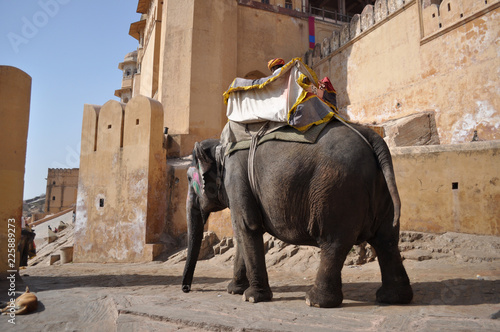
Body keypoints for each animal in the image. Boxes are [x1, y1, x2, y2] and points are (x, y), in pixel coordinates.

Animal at [182, 120, 412, 308]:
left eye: (188, 178)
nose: (186, 289)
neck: (220, 147)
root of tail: (373, 138)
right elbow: (242, 231)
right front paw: (234, 290)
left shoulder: (236, 177)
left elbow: (247, 226)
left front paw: (251, 297)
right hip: (382, 189)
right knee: (386, 240)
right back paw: (392, 298)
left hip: (336, 189)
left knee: (335, 242)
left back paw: (315, 301)